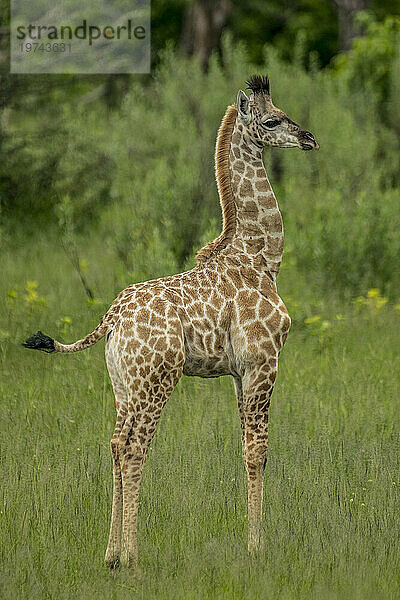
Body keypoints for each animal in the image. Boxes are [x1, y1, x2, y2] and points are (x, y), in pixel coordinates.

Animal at [24, 75, 318, 568]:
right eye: (272, 120)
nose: (309, 139)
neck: (262, 259)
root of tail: (111, 318)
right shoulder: (264, 362)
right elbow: (258, 451)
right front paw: (257, 547)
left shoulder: (238, 372)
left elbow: (244, 447)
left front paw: (250, 540)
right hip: (157, 380)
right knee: (134, 449)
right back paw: (132, 558)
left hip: (124, 385)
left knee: (115, 444)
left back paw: (110, 554)